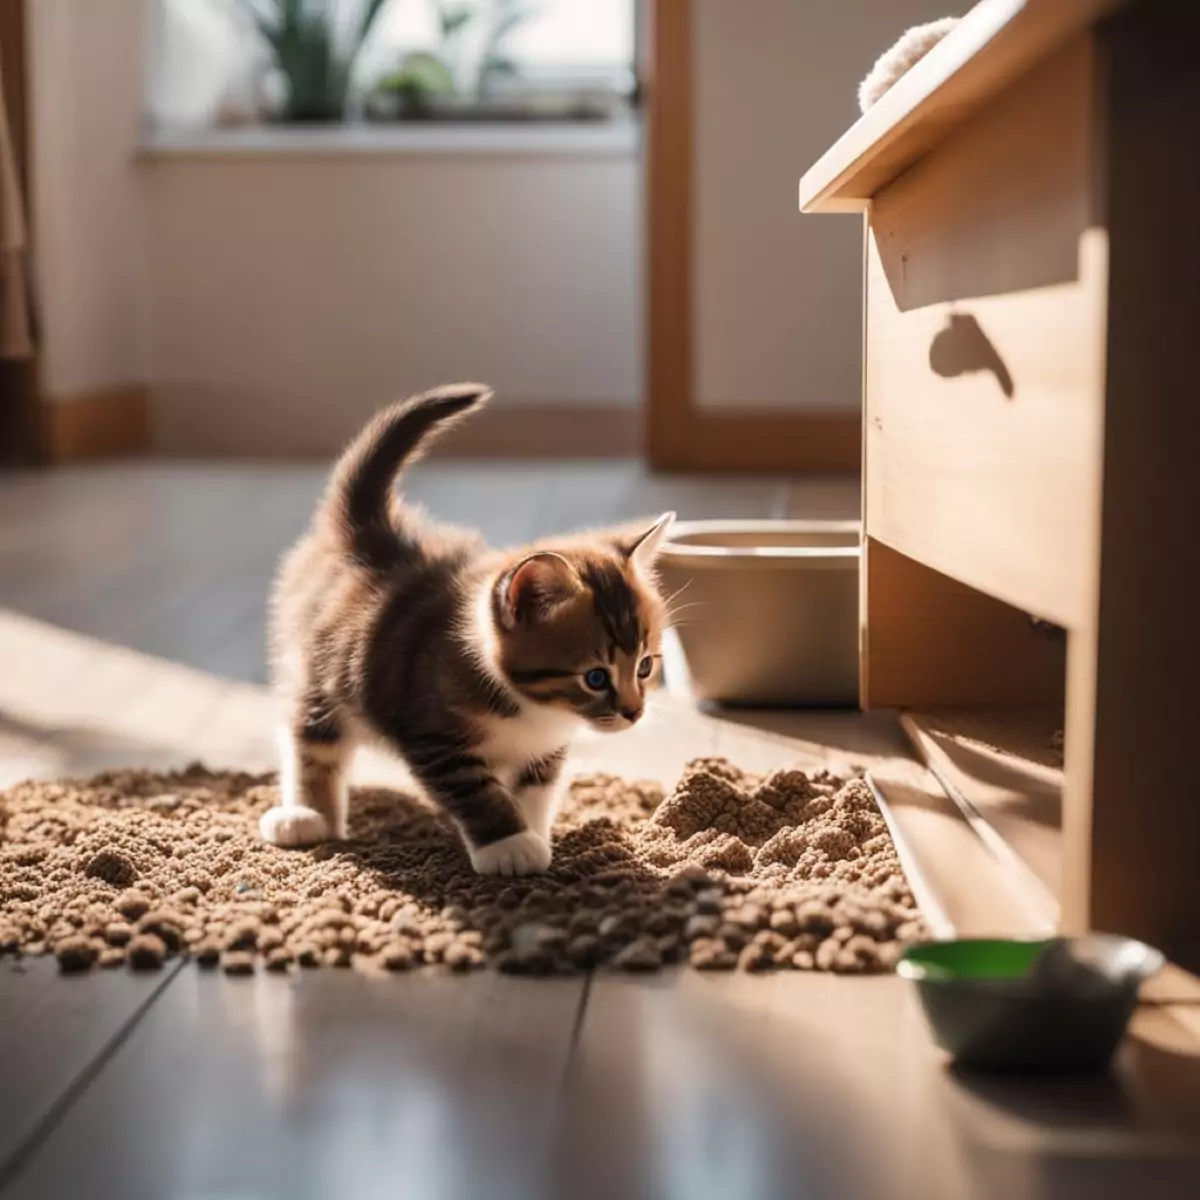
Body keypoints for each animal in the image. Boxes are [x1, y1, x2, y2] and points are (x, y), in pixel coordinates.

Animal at [260, 388, 676, 878]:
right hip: (319, 672)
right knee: (311, 741)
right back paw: (306, 816)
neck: (533, 710)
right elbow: (479, 793)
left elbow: (535, 789)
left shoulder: (545, 751)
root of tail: (368, 531)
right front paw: (509, 845)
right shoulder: (433, 736)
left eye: (645, 666)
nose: (634, 712)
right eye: (595, 677)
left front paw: (533, 833)